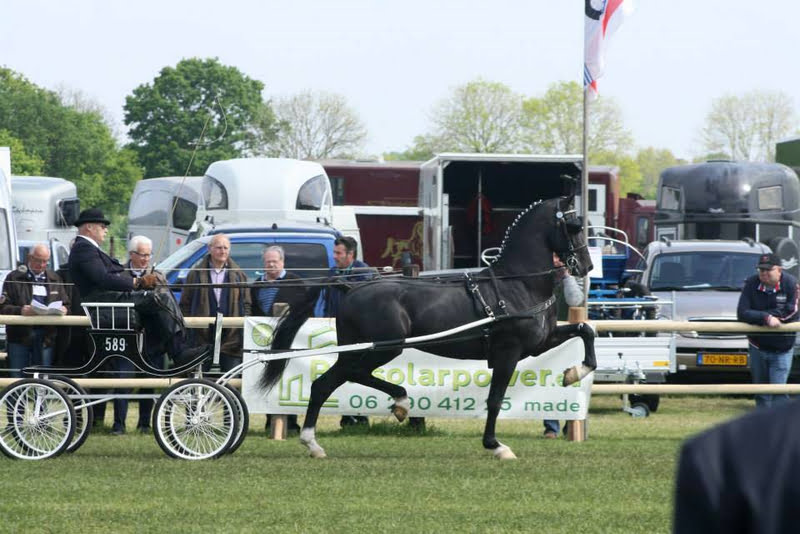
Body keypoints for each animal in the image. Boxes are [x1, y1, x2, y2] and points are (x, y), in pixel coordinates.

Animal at [260, 197, 596, 460]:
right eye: (575, 226)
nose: (586, 266)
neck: (517, 284)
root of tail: (350, 288)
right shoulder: (508, 351)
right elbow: (495, 399)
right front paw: (496, 446)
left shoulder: (539, 342)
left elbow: (585, 330)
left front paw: (573, 373)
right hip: (383, 348)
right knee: (338, 379)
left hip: (364, 349)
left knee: (332, 381)